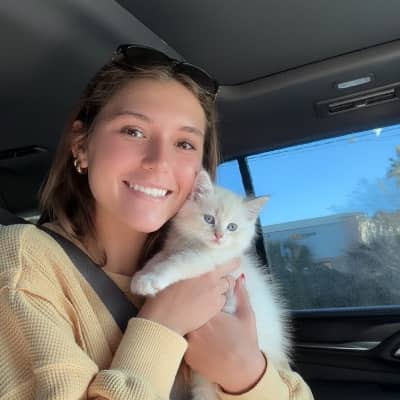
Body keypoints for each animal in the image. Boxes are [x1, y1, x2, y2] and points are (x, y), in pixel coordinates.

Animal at [131, 170, 291, 400]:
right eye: (209, 219)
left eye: (232, 227)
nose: (219, 236)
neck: (190, 243)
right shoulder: (170, 248)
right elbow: (157, 258)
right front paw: (140, 276)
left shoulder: (206, 260)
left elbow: (176, 263)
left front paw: (150, 280)